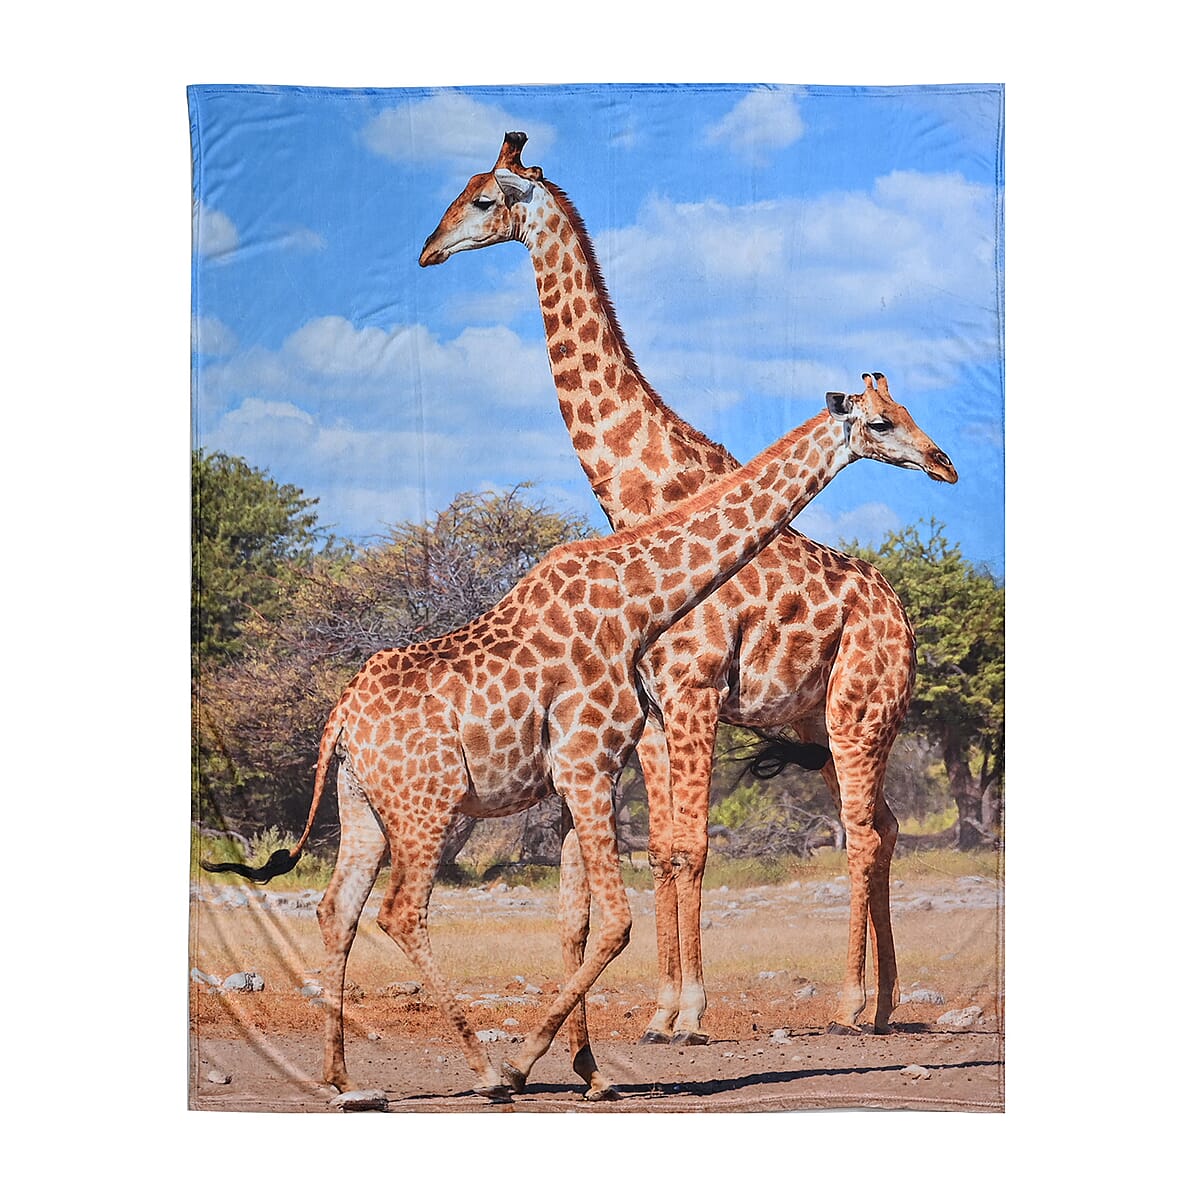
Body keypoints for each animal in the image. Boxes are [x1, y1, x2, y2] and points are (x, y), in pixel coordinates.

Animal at [203, 379, 955, 1103]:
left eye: (906, 408)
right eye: (882, 422)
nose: (943, 463)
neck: (636, 606)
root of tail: (340, 719)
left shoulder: (575, 781)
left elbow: (577, 924)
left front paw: (590, 1071)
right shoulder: (590, 766)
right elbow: (616, 921)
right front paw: (530, 1064)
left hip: (362, 805)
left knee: (338, 910)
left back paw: (342, 1080)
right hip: (426, 807)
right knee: (401, 912)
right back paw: (483, 1071)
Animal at [420, 133, 960, 1043]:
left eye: (485, 200)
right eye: (458, 192)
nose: (427, 250)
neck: (640, 492)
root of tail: (906, 622)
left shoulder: (697, 688)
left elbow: (694, 845)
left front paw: (692, 1010)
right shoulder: (652, 705)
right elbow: (666, 849)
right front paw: (663, 1010)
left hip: (862, 713)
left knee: (860, 834)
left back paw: (850, 1005)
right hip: (829, 724)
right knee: (882, 827)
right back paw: (884, 1003)